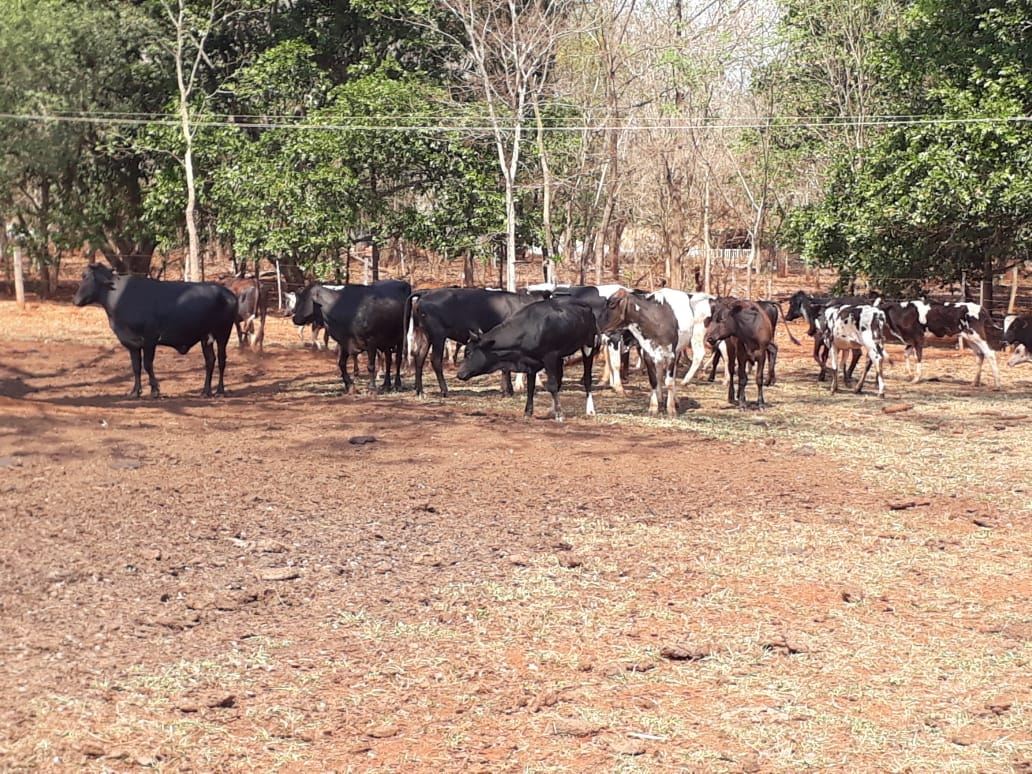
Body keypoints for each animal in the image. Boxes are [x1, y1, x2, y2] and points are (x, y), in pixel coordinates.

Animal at [72, 266, 236, 400]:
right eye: (83, 276)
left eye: (90, 278)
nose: (75, 300)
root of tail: (229, 293)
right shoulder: (132, 344)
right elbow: (136, 367)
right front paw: (134, 392)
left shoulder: (150, 339)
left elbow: (147, 364)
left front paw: (155, 391)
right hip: (205, 337)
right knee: (210, 360)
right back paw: (205, 391)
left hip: (223, 333)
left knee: (222, 360)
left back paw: (220, 391)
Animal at [404, 288, 549, 400]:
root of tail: (426, 293)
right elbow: (505, 367)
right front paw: (508, 391)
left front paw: (507, 390)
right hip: (438, 335)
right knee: (435, 360)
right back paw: (444, 391)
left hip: (425, 334)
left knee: (419, 357)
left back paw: (420, 392)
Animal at [454, 297, 598, 421]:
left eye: (468, 352)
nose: (459, 374)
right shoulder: (531, 363)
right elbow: (531, 387)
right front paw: (528, 412)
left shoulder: (550, 356)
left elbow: (551, 385)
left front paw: (559, 415)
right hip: (561, 357)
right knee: (559, 380)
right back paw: (552, 409)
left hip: (588, 345)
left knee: (587, 379)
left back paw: (590, 410)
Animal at [598, 286, 685, 418]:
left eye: (612, 304)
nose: (598, 325)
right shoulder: (647, 354)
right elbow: (653, 380)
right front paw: (653, 407)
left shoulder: (671, 355)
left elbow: (669, 382)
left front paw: (671, 409)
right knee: (659, 375)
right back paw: (660, 398)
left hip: (677, 353)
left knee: (672, 377)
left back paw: (674, 400)